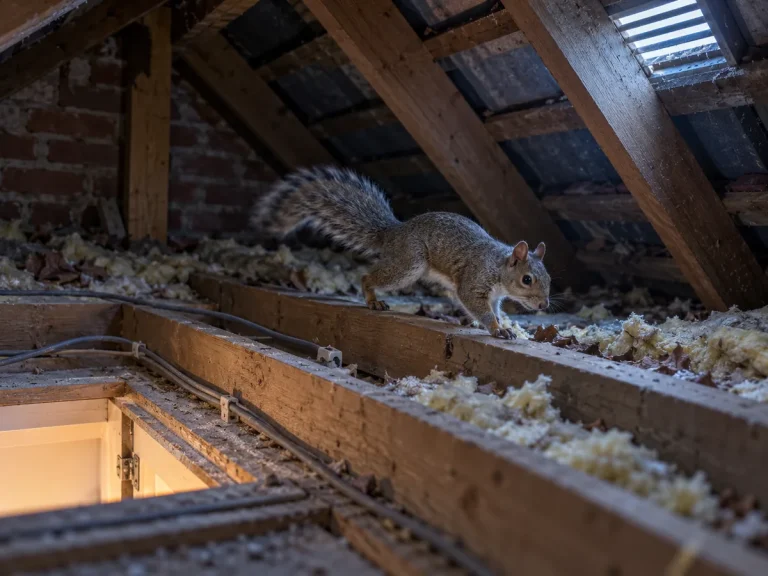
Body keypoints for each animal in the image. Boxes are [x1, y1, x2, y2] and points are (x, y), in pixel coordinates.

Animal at [251, 166, 551, 339]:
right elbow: (476, 304)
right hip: (409, 263)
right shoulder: (475, 280)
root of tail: (394, 233)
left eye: (549, 279)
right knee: (369, 277)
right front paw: (496, 328)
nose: (544, 306)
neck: (499, 266)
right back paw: (373, 299)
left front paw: (500, 323)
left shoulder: (494, 295)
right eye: (527, 279)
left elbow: (491, 308)